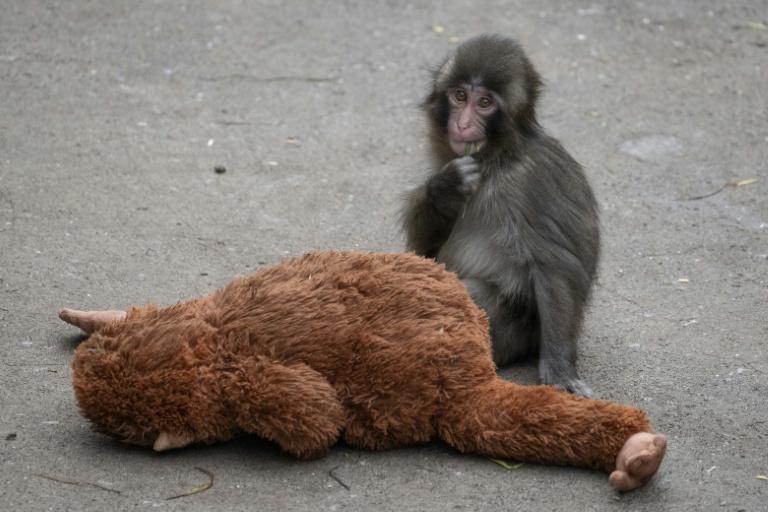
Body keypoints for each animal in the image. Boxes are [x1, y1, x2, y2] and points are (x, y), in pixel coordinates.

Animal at [401, 34, 600, 397]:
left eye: (484, 103)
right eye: (460, 96)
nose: (463, 124)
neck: (497, 159)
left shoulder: (528, 183)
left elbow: (556, 266)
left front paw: (560, 370)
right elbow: (424, 251)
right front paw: (448, 188)